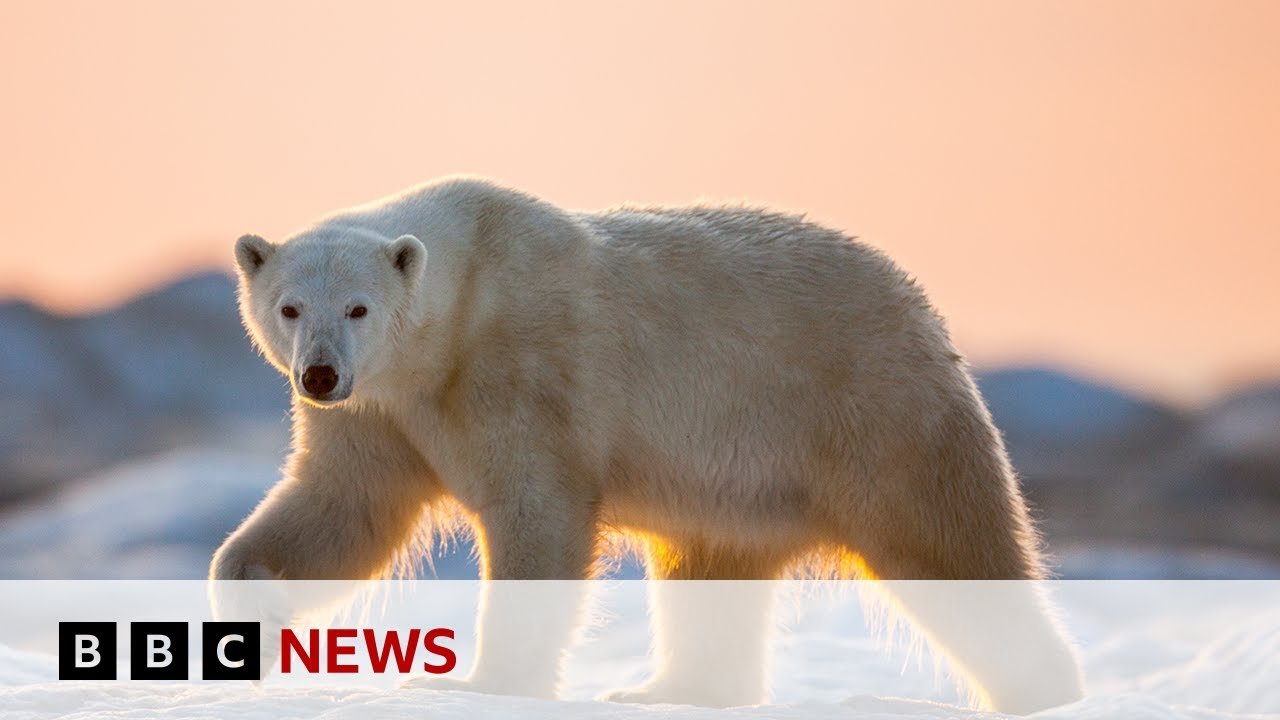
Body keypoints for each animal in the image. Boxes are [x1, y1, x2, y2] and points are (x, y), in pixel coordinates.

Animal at [215, 176, 1085, 707]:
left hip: (867, 412)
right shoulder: (381, 414)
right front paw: (248, 602)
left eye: (359, 308)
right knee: (709, 567)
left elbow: (538, 511)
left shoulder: (520, 369)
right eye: (290, 307)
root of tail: (917, 303)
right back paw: (673, 688)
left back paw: (1043, 687)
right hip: (738, 479)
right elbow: (345, 508)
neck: (453, 316)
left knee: (946, 543)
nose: (319, 373)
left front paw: (478, 683)